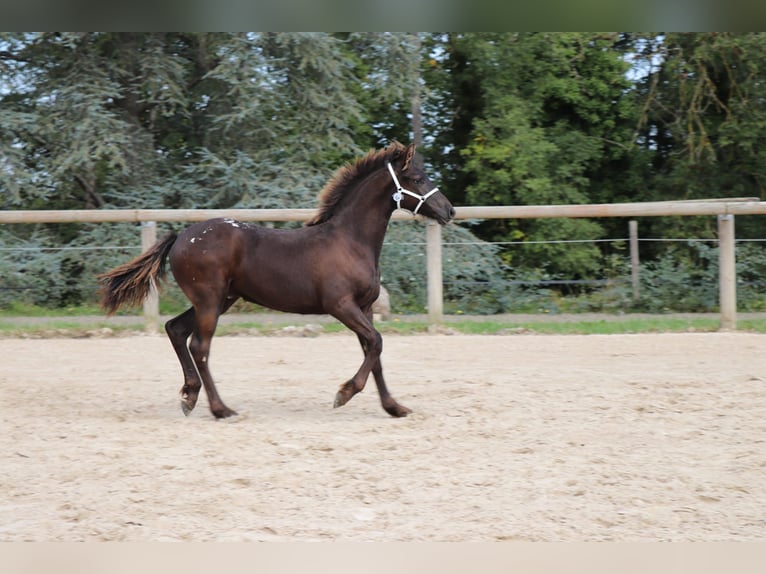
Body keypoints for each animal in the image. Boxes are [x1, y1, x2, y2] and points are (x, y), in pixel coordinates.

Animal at [98, 142, 452, 420]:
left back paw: (189, 394)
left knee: (175, 329)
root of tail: (181, 237)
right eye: (418, 178)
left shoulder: (364, 307)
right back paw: (220, 409)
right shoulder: (340, 305)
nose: (449, 210)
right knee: (200, 346)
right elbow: (376, 343)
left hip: (220, 299)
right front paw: (344, 393)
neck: (350, 241)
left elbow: (374, 351)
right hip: (209, 300)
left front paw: (394, 407)